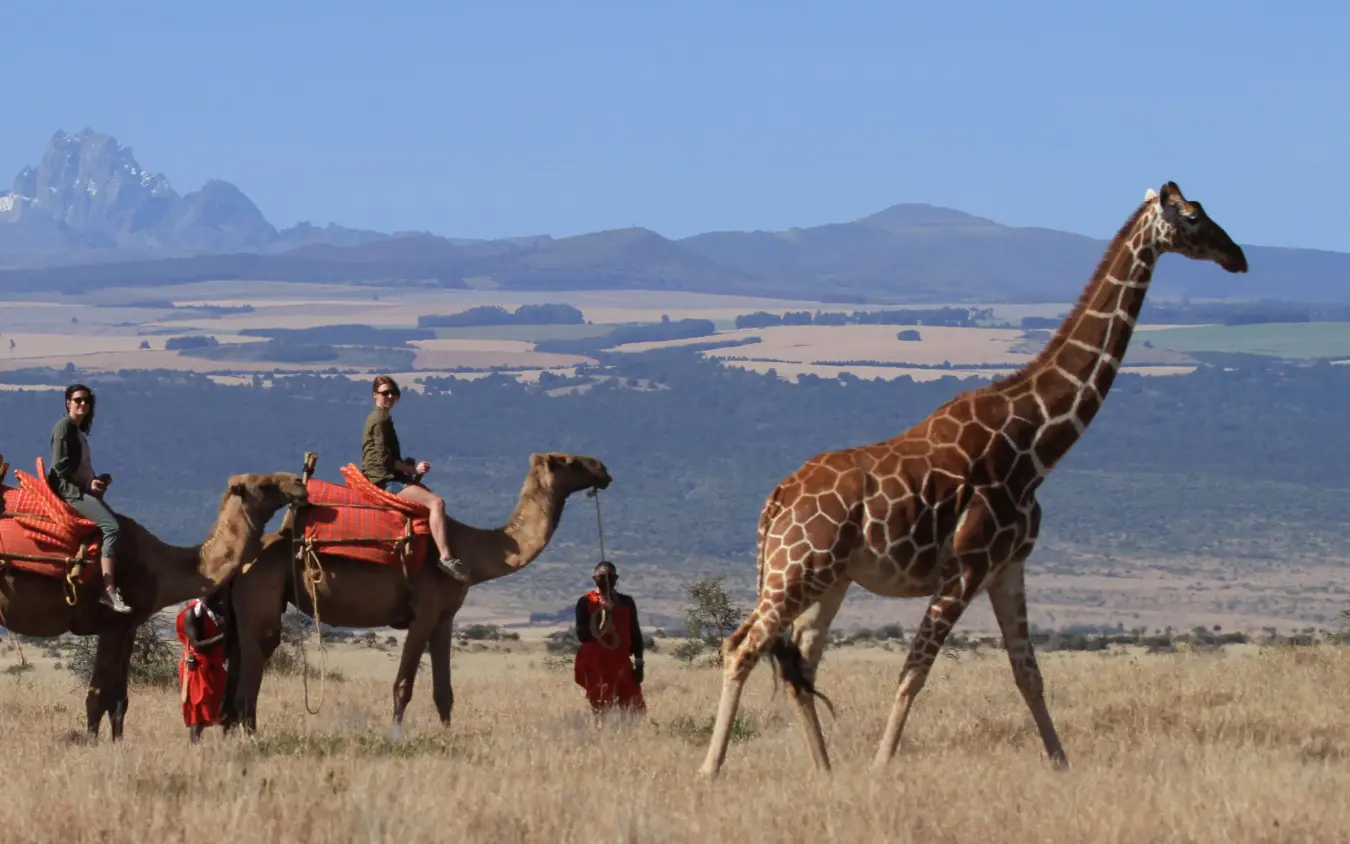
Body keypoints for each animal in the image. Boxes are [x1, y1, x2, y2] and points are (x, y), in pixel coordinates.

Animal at [0, 466, 308, 740]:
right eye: (263, 485)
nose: (298, 483)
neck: (159, 567)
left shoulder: (128, 626)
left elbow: (119, 698)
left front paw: (117, 744)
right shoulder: (111, 624)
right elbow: (97, 695)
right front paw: (91, 744)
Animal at [222, 451, 613, 734]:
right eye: (569, 461)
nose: (603, 468)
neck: (471, 550)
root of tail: (245, 560)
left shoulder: (444, 618)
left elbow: (444, 690)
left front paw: (448, 735)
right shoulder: (423, 613)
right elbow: (403, 684)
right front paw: (396, 734)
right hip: (261, 593)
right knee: (254, 662)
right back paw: (248, 733)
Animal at [698, 181, 1249, 777]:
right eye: (1191, 218)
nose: (1237, 257)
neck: (1035, 442)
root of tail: (775, 501)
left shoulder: (1008, 566)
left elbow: (1028, 674)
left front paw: (1061, 765)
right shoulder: (966, 566)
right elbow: (914, 672)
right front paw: (881, 769)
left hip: (828, 580)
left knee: (801, 663)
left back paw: (825, 770)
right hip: (796, 571)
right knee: (742, 647)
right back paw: (712, 769)